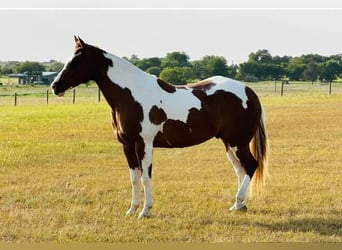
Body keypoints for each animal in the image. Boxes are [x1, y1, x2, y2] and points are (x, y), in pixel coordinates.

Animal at [51, 37, 270, 219]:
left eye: (76, 61)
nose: (55, 86)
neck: (131, 95)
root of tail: (249, 92)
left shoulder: (144, 144)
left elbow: (146, 177)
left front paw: (145, 211)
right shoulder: (127, 146)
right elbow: (134, 178)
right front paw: (132, 209)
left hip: (237, 142)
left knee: (251, 165)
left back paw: (238, 201)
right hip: (229, 143)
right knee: (240, 169)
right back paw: (238, 205)